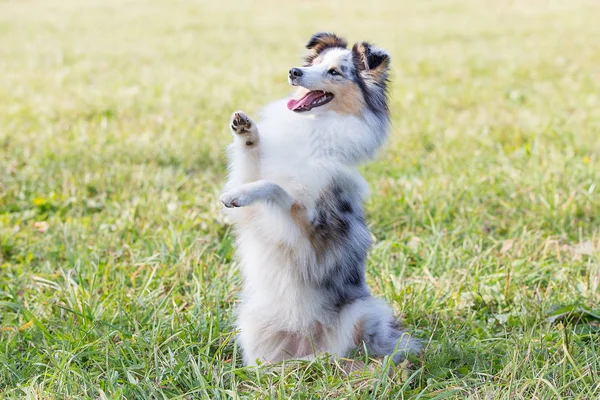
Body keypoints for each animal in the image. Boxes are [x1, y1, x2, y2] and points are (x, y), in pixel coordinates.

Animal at [220, 32, 422, 368]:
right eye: (313, 63)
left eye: (335, 72)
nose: (293, 72)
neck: (315, 128)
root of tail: (305, 345)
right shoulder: (254, 210)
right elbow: (254, 168)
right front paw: (246, 132)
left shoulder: (308, 226)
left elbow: (275, 186)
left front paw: (240, 194)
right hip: (251, 319)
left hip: (361, 311)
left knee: (343, 353)